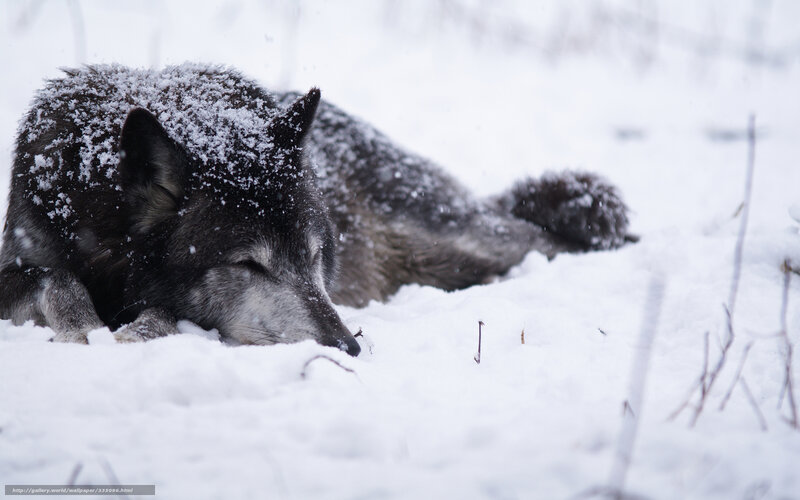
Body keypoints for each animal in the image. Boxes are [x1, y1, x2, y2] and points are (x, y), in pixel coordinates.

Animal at [0, 64, 631, 356]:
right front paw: (85, 327)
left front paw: (130, 331)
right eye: (248, 265)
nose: (348, 347)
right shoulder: (22, 257)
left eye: (314, 256)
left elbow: (158, 313)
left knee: (546, 240)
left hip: (459, 243)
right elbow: (54, 277)